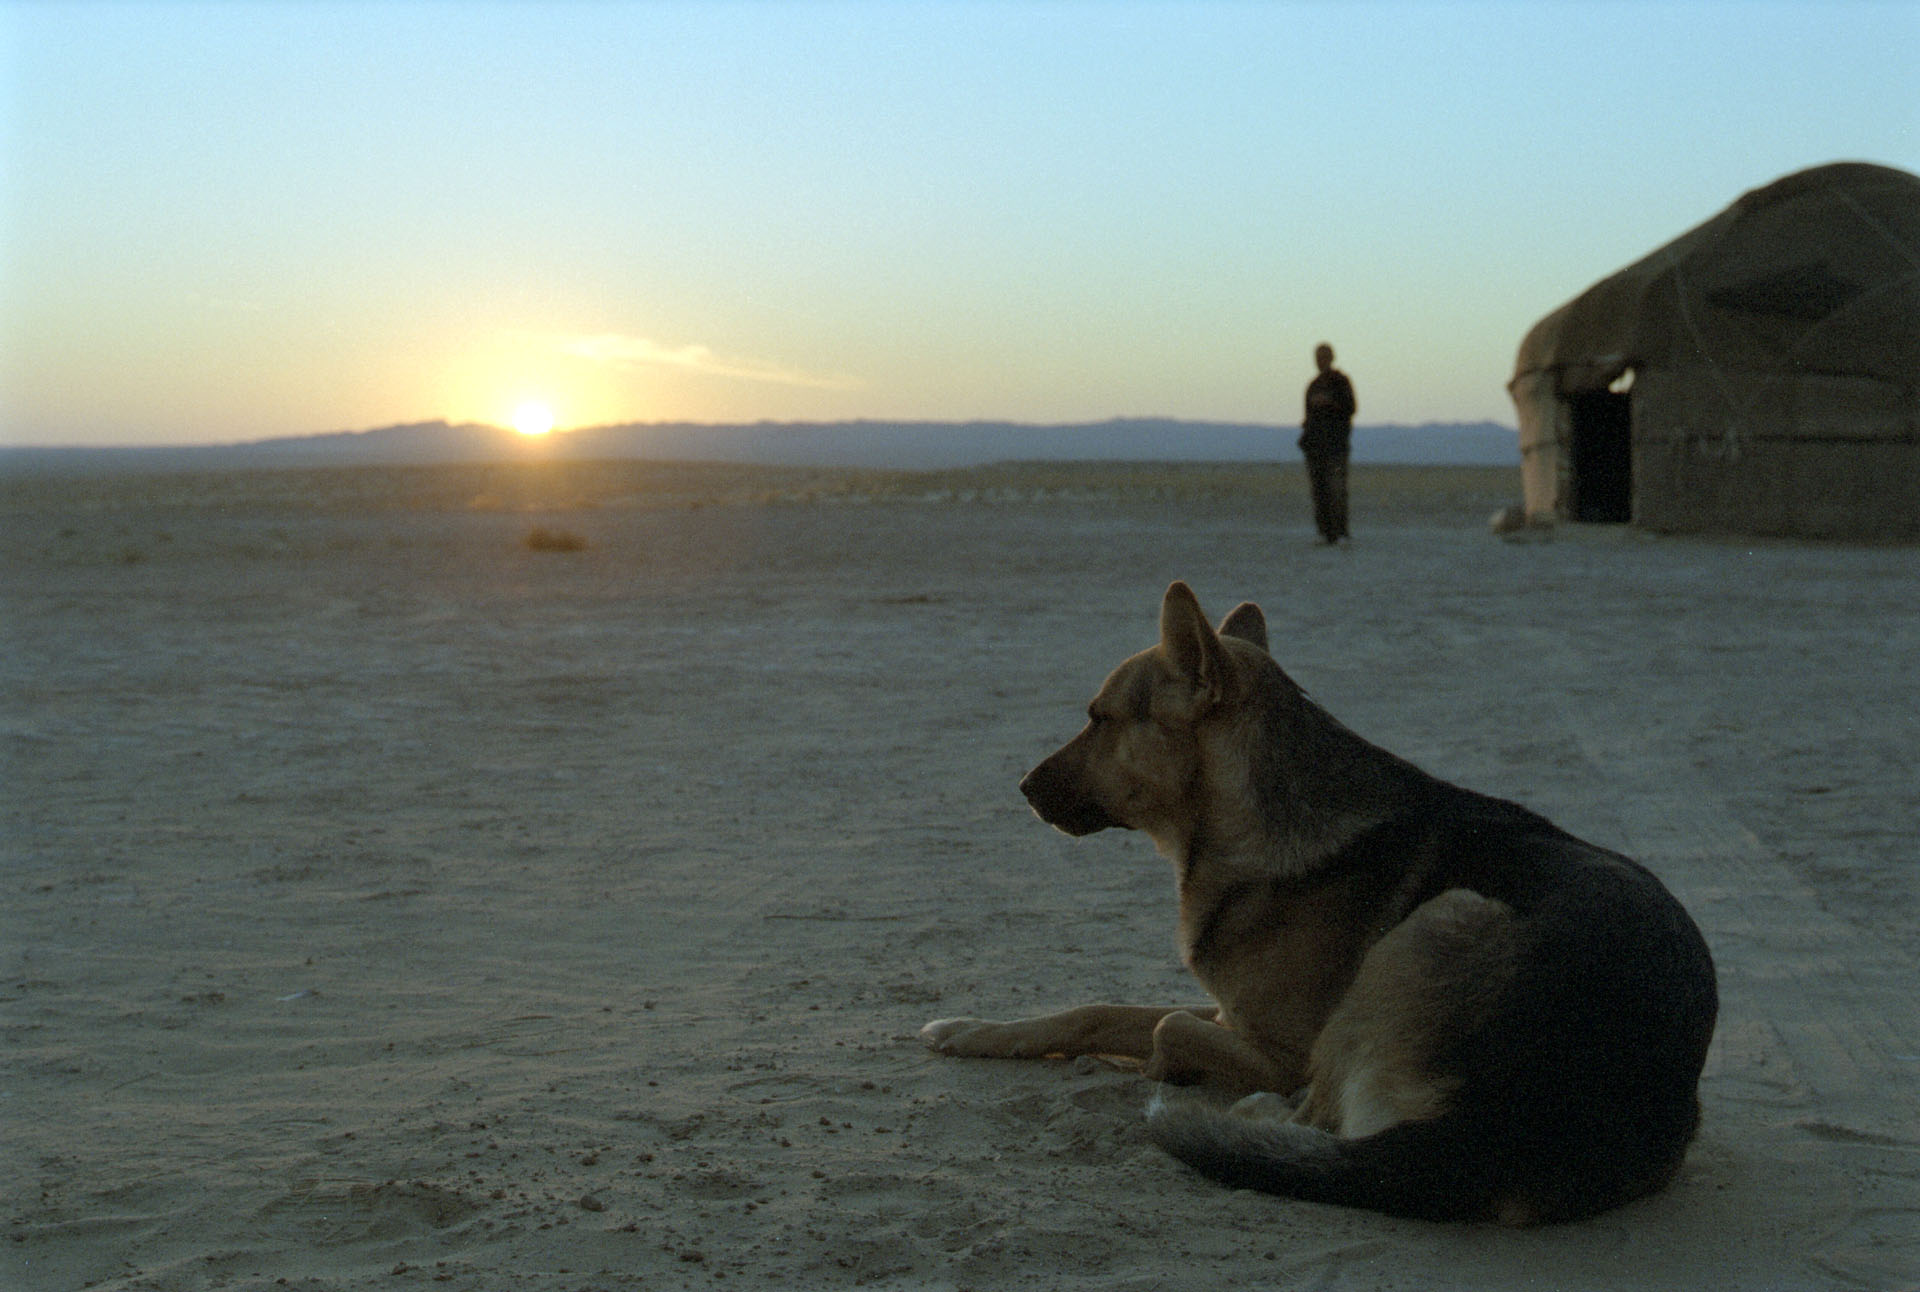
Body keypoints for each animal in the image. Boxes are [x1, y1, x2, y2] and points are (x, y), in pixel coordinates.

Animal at [921, 579, 1720, 1220]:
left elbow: (1167, 1028)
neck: (1248, 816)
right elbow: (1095, 1011)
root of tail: (1492, 1134)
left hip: (1440, 919)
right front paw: (977, 1030)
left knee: (1318, 1115)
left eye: (1098, 718)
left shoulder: (1281, 1048)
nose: (1022, 787)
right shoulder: (1230, 1012)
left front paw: (1164, 1070)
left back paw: (1250, 1114)